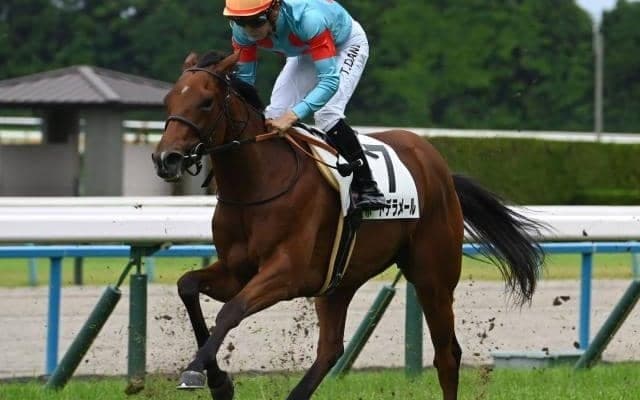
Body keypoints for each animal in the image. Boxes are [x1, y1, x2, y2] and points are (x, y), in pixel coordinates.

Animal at [152, 50, 544, 400]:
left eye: (205, 102)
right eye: (168, 100)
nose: (165, 158)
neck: (259, 182)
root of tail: (440, 169)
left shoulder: (286, 274)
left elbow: (231, 311)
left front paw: (197, 373)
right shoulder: (237, 271)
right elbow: (187, 286)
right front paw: (218, 381)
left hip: (433, 276)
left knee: (447, 355)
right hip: (339, 281)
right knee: (330, 350)